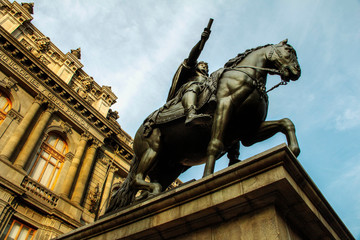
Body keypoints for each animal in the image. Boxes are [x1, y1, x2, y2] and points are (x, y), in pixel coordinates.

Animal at [106, 39, 300, 214]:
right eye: (289, 51)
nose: (297, 72)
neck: (249, 78)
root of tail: (142, 128)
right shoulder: (224, 107)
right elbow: (214, 144)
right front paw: (208, 176)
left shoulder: (248, 132)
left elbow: (286, 122)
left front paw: (293, 151)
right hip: (153, 149)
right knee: (136, 179)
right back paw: (154, 190)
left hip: (171, 166)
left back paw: (148, 196)